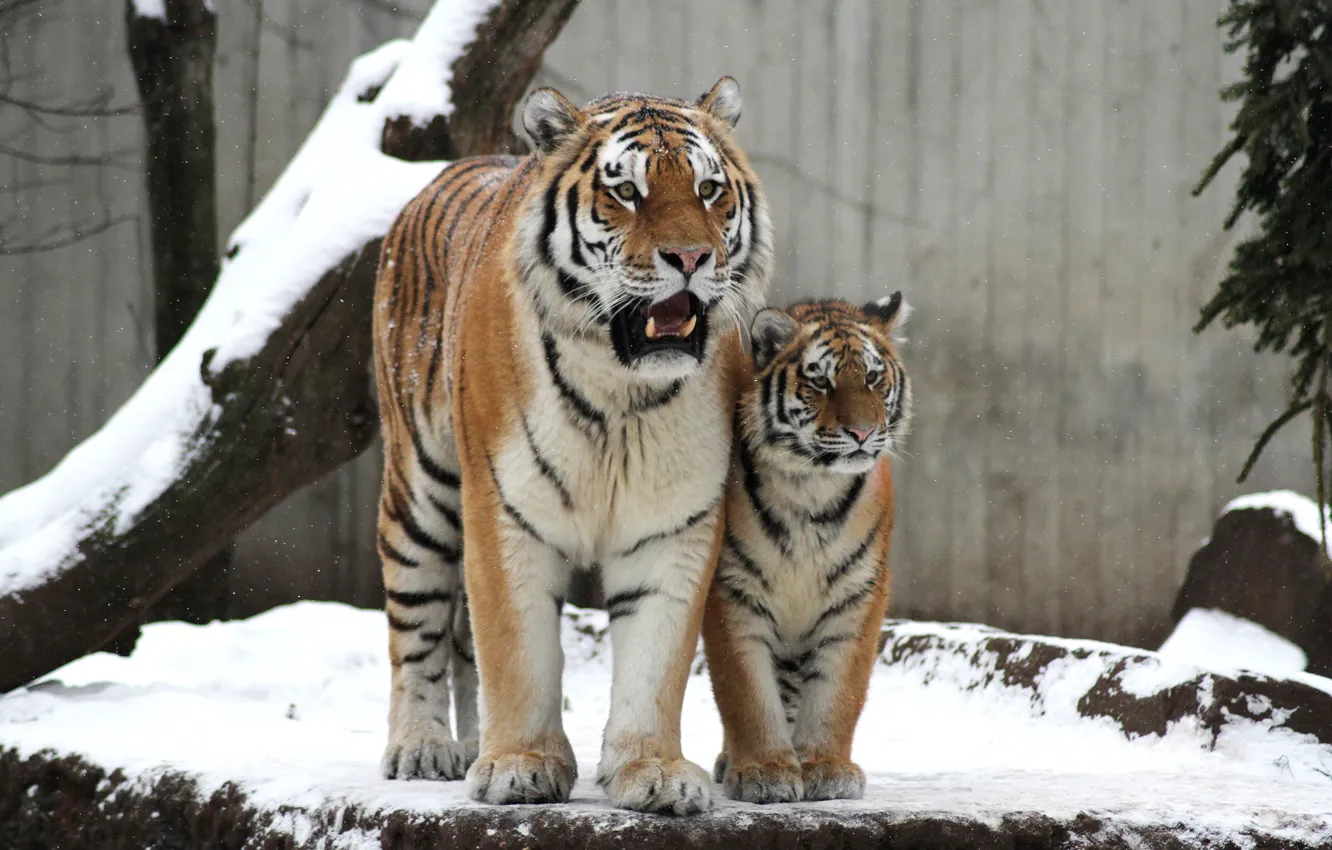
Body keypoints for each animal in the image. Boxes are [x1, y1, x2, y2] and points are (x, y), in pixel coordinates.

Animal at [370, 77, 772, 814]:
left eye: (708, 190)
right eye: (627, 192)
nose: (691, 258)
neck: (622, 392)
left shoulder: (673, 524)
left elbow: (654, 660)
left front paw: (652, 771)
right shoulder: (504, 509)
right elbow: (516, 649)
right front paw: (520, 764)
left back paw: (470, 743)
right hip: (420, 489)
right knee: (416, 624)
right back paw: (422, 747)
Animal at [702, 295, 912, 804]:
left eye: (873, 378)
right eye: (821, 381)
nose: (862, 433)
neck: (810, 487)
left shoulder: (857, 596)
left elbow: (838, 693)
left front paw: (825, 767)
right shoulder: (732, 592)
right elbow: (746, 694)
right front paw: (764, 771)